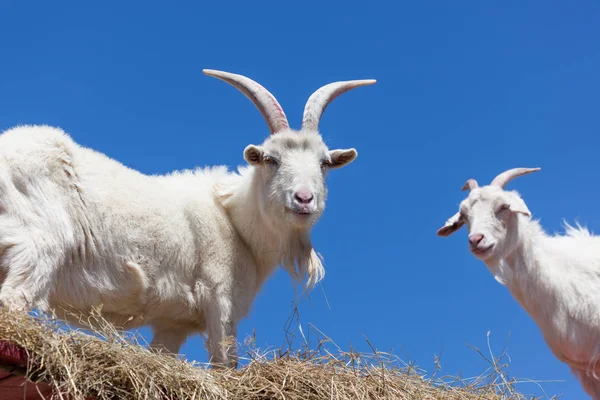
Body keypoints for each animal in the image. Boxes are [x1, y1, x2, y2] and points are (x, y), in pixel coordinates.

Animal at [0, 68, 376, 366]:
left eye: (324, 163)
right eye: (271, 159)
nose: (304, 199)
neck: (235, 220)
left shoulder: (174, 322)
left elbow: (163, 355)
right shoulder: (220, 298)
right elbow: (225, 364)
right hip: (39, 247)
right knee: (13, 300)